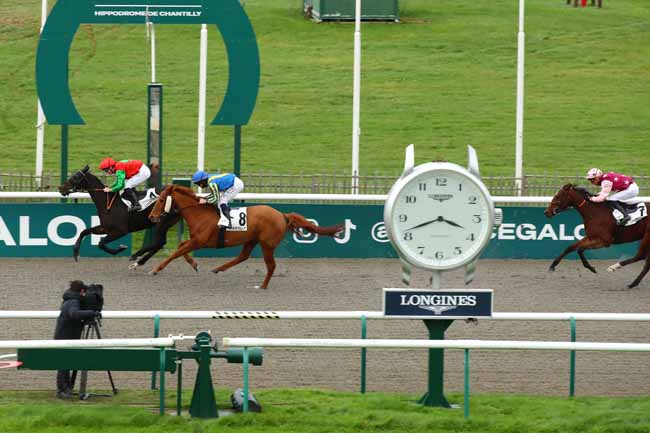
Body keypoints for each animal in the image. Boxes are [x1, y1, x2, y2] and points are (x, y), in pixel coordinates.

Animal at [58, 164, 192, 268]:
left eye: (76, 177)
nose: (61, 188)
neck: (108, 203)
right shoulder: (105, 228)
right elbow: (84, 231)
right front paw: (76, 252)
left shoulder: (120, 230)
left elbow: (101, 243)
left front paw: (121, 248)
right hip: (166, 223)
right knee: (160, 243)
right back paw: (139, 262)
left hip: (162, 221)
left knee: (159, 242)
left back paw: (136, 255)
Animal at [148, 184, 344, 288]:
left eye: (160, 200)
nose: (151, 217)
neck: (199, 213)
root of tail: (282, 215)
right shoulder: (196, 240)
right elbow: (180, 246)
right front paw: (195, 264)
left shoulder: (200, 241)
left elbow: (176, 252)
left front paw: (155, 269)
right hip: (252, 240)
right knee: (243, 256)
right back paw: (218, 269)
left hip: (267, 244)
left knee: (271, 265)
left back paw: (262, 286)